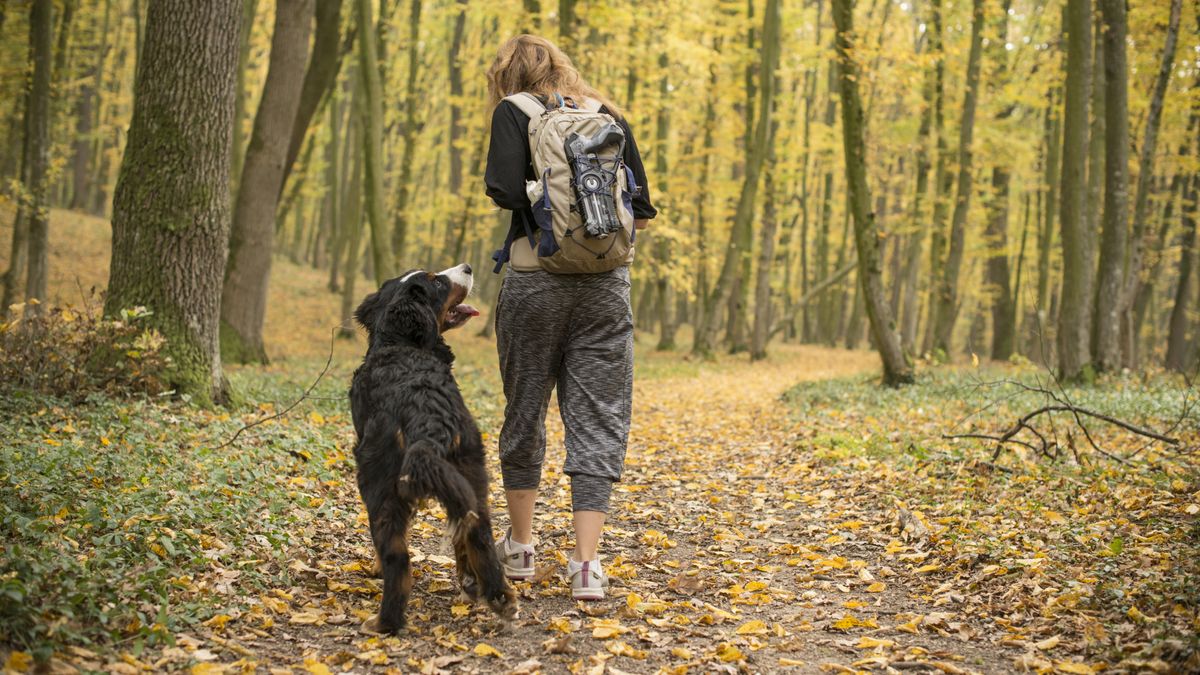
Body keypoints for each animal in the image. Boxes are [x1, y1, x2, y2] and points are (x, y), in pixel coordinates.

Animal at [348, 263, 516, 629]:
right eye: (438, 282)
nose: (467, 266)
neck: (397, 344)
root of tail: (425, 406)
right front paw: (468, 582)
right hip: (471, 468)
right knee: (478, 533)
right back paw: (497, 596)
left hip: (377, 482)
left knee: (396, 556)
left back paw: (385, 623)